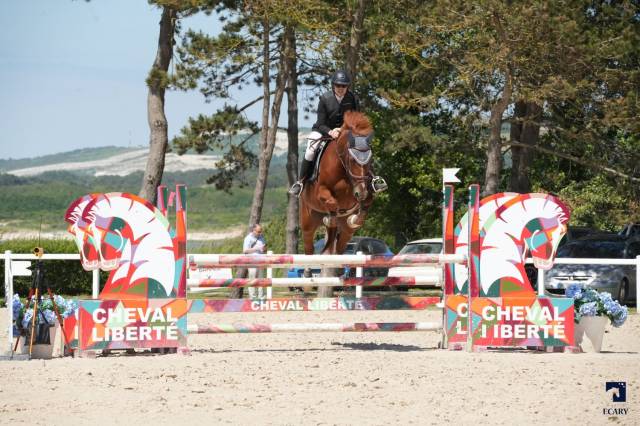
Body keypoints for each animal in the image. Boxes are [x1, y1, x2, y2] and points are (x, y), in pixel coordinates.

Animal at [300, 110, 380, 290]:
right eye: (352, 159)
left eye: (370, 160)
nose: (360, 193)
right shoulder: (322, 191)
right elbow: (332, 203)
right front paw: (331, 218)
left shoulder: (363, 191)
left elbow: (366, 203)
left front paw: (354, 218)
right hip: (308, 220)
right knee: (309, 245)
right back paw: (307, 275)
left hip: (347, 233)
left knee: (340, 245)